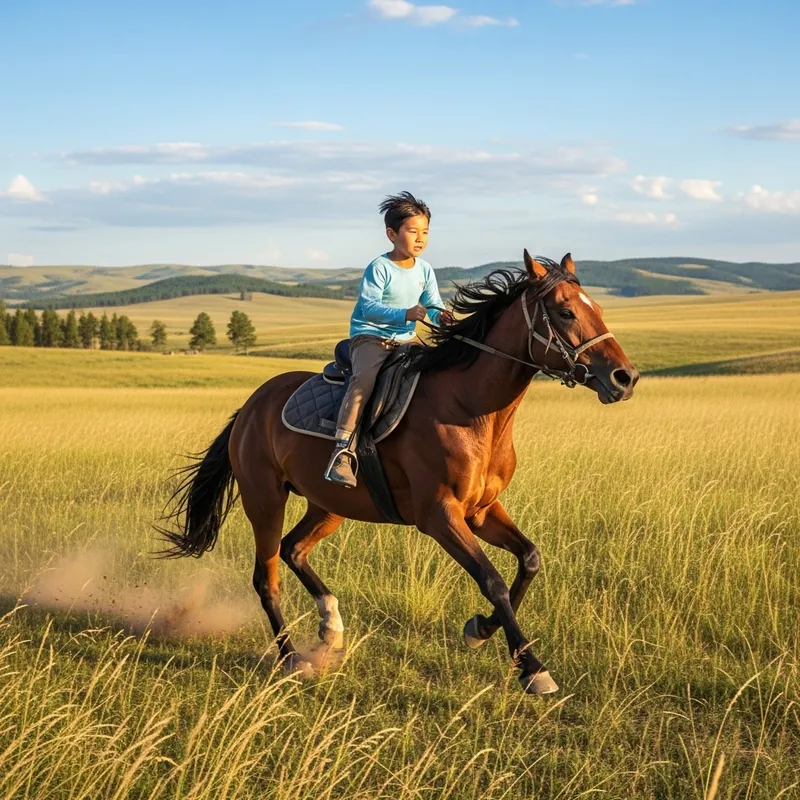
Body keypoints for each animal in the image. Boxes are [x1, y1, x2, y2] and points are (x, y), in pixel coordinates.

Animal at [159, 251, 638, 695]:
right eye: (565, 312)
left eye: (597, 306)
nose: (625, 377)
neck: (470, 409)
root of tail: (250, 407)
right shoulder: (439, 516)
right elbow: (493, 580)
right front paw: (532, 668)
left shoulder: (481, 510)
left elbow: (530, 559)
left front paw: (480, 630)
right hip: (265, 500)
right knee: (267, 577)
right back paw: (292, 658)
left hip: (329, 503)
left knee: (293, 549)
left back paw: (331, 626)